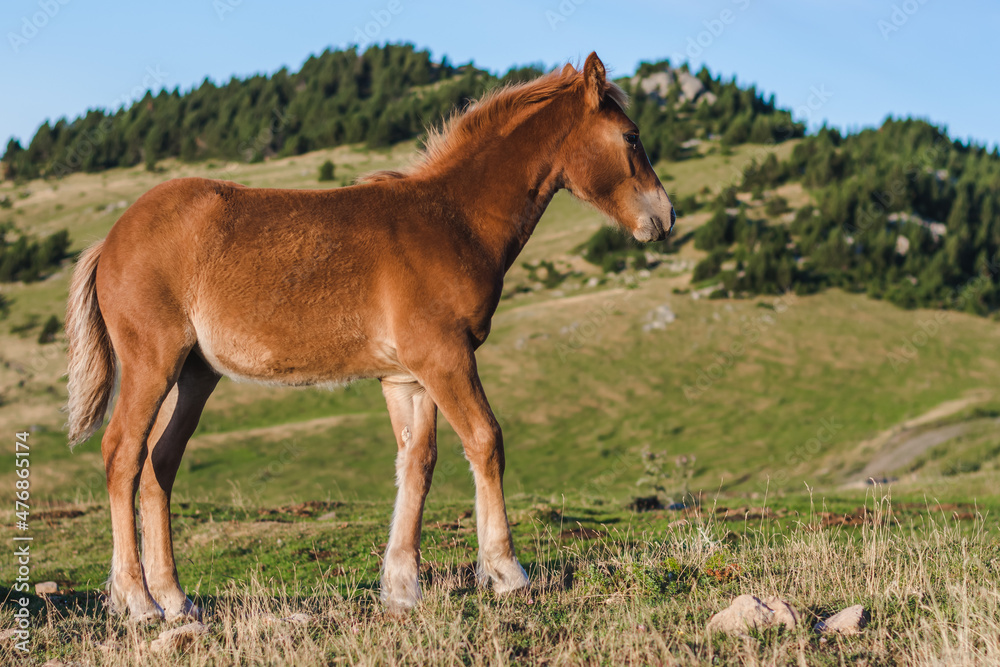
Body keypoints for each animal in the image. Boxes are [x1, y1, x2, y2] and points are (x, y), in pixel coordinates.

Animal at [65, 52, 674, 620]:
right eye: (631, 136)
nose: (665, 217)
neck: (453, 219)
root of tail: (110, 240)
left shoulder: (408, 377)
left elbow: (418, 462)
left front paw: (403, 588)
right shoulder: (445, 358)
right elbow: (485, 440)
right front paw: (506, 571)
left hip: (194, 374)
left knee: (159, 465)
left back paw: (176, 599)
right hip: (153, 363)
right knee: (123, 455)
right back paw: (137, 600)